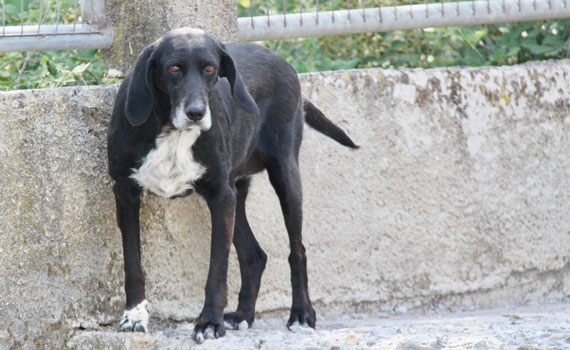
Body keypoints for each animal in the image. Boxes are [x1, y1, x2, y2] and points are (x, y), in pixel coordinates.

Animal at [106, 28, 356, 344]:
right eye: (173, 68)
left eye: (210, 69)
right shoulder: (125, 194)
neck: (171, 129)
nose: (196, 113)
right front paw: (134, 316)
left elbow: (217, 269)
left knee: (297, 249)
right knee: (254, 256)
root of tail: (281, 60)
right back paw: (243, 315)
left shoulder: (220, 197)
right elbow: (133, 264)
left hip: (285, 176)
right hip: (236, 194)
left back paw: (301, 313)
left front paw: (210, 322)